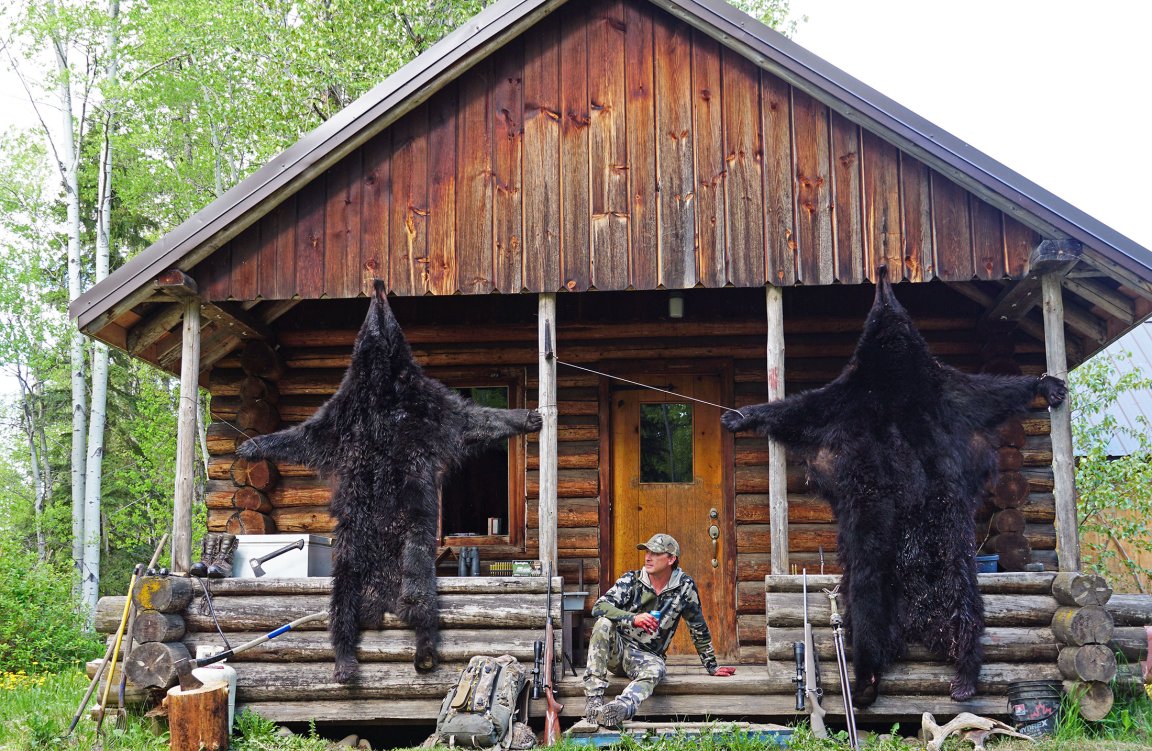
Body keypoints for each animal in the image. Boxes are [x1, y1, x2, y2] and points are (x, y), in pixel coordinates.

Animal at [237, 280, 542, 682]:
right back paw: (345, 661)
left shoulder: (429, 409)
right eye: (373, 314)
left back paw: (421, 652)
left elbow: (474, 420)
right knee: (342, 605)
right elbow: (299, 437)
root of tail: (380, 598)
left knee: (419, 596)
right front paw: (251, 445)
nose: (379, 284)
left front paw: (528, 417)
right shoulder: (341, 419)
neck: (382, 388)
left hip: (413, 542)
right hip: (349, 551)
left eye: (383, 312)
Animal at [721, 266, 1066, 705]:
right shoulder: (928, 391)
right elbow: (987, 393)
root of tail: (917, 607)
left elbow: (801, 408)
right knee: (939, 595)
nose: (883, 272)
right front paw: (739, 416)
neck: (895, 369)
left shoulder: (888, 391)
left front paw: (1046, 385)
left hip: (903, 528)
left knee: (892, 595)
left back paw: (900, 678)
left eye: (883, 299)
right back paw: (945, 674)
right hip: (923, 532)